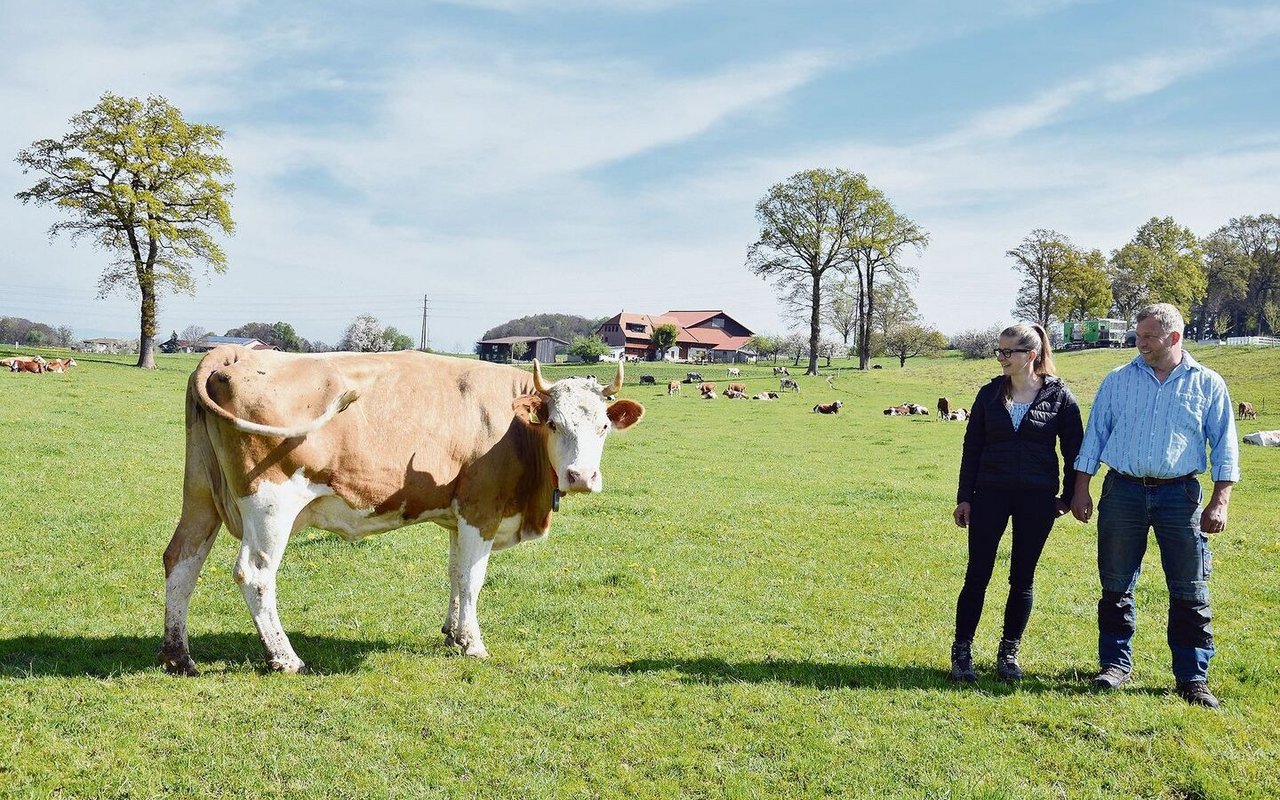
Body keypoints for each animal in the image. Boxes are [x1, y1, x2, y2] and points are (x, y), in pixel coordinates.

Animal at [160, 348, 640, 675]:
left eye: (603, 426)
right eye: (554, 424)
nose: (581, 476)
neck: (515, 430)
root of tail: (238, 352)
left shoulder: (458, 516)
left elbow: (455, 574)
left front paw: (452, 635)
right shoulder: (480, 510)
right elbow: (473, 580)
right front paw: (473, 643)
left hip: (200, 492)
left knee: (181, 560)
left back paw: (177, 656)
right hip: (269, 504)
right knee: (255, 573)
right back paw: (285, 658)